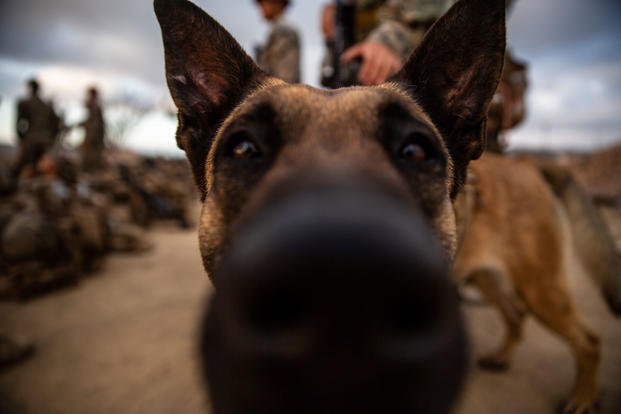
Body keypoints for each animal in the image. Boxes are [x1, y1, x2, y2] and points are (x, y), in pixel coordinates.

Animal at [151, 0, 616, 412]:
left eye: (415, 151)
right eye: (244, 148)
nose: (344, 287)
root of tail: (528, 164)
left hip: (540, 286)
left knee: (589, 340)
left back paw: (582, 397)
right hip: (489, 277)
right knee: (516, 316)